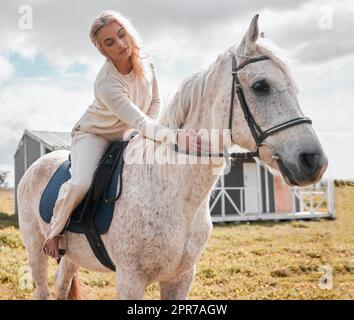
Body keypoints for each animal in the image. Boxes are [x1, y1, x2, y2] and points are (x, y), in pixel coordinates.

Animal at [15, 15, 326, 300]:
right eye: (261, 86)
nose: (314, 161)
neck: (172, 190)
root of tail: (36, 166)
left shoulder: (180, 278)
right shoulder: (130, 280)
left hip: (71, 257)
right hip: (36, 250)